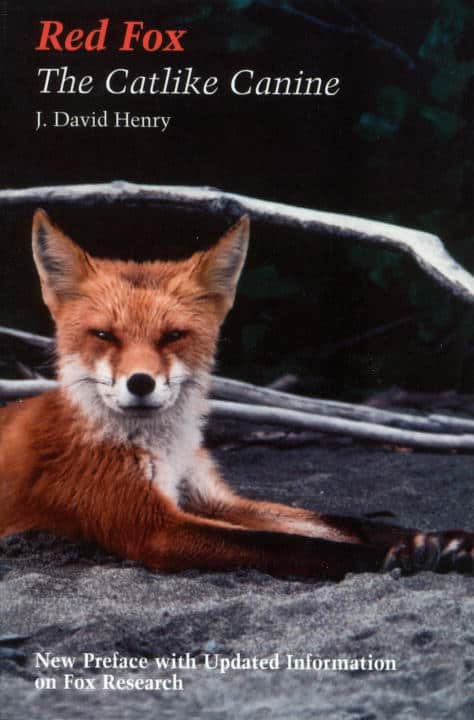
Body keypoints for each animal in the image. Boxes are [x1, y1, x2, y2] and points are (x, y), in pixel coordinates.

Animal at [0, 209, 472, 581]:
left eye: (173, 335)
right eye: (104, 336)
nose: (141, 383)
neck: (163, 450)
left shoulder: (209, 497)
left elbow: (339, 521)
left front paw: (440, 540)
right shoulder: (152, 525)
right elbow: (290, 544)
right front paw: (387, 556)